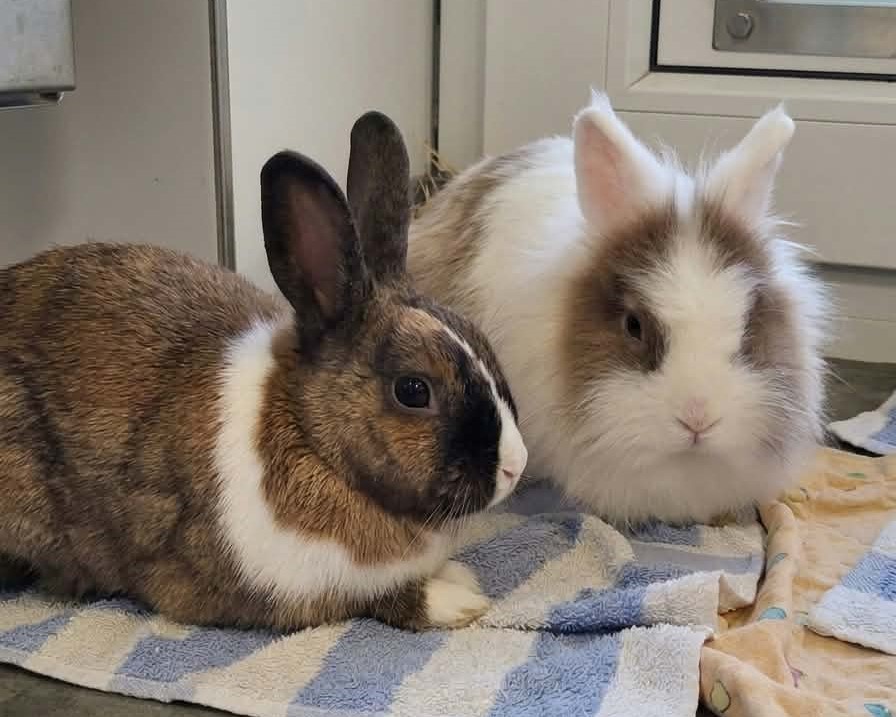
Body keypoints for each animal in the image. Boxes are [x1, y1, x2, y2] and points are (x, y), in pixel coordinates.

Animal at [0, 110, 527, 632]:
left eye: (482, 340)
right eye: (414, 390)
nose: (515, 467)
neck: (314, 443)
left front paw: (458, 575)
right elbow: (374, 599)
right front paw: (458, 600)